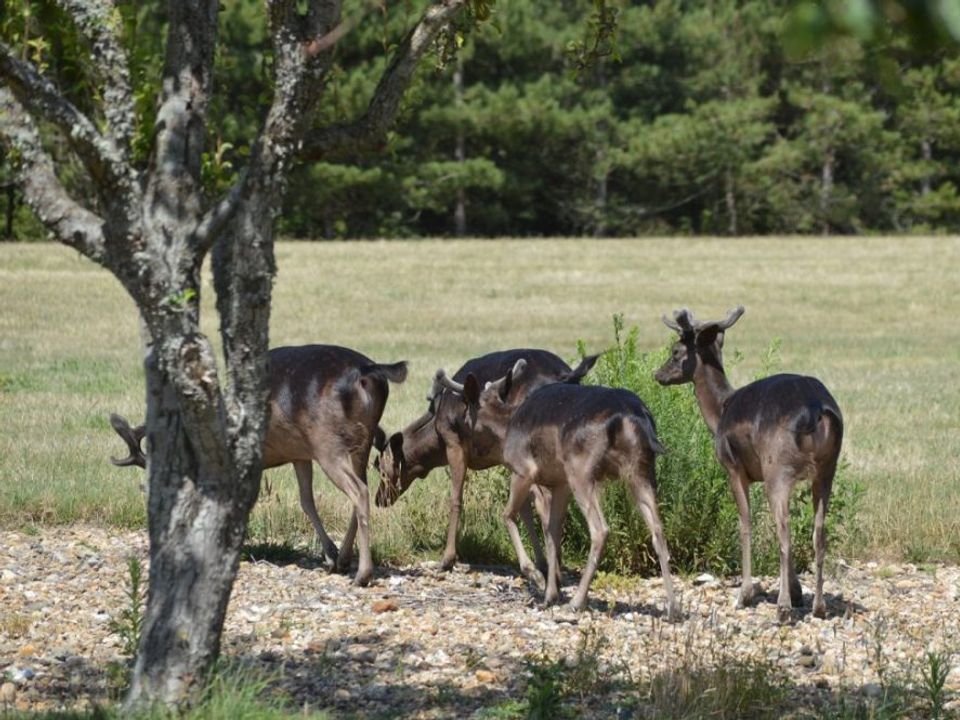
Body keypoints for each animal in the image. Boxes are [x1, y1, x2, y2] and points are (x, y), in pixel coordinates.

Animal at [108, 344, 404, 584]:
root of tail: (368, 373)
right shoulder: (299, 453)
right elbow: (306, 501)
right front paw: (329, 555)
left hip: (328, 442)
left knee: (359, 491)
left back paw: (362, 574)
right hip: (358, 442)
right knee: (363, 488)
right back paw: (344, 559)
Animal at [372, 348, 596, 572]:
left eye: (379, 467)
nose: (379, 499)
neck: (436, 438)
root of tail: (567, 376)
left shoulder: (454, 444)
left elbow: (456, 498)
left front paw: (447, 559)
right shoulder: (504, 456)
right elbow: (523, 506)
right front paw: (538, 561)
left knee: (547, 499)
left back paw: (554, 561)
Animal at [438, 356, 680, 620]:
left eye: (465, 411)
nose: (460, 437)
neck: (506, 428)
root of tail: (630, 417)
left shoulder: (524, 470)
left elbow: (508, 515)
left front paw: (535, 575)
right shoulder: (560, 482)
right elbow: (552, 530)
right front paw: (551, 592)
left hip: (581, 471)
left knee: (600, 529)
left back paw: (576, 602)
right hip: (641, 470)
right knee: (657, 528)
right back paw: (672, 607)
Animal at [656, 304, 844, 620]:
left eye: (675, 351)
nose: (657, 374)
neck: (720, 411)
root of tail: (816, 409)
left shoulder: (733, 467)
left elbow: (744, 522)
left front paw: (745, 594)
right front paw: (797, 592)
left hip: (778, 465)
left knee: (784, 528)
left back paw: (782, 608)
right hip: (826, 469)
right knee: (819, 531)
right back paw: (818, 606)